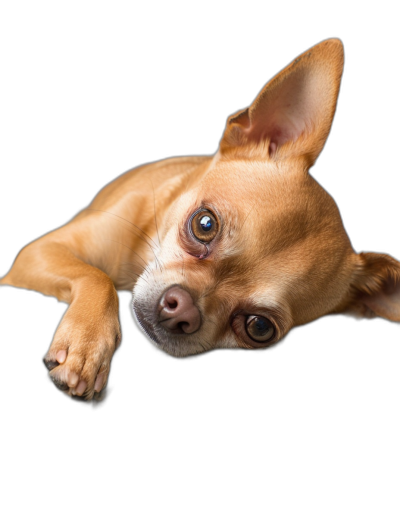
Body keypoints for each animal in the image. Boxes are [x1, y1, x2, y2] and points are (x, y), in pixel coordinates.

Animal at [1, 39, 398, 404]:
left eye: (259, 327)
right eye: (204, 224)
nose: (184, 311)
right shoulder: (40, 251)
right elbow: (99, 278)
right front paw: (87, 346)